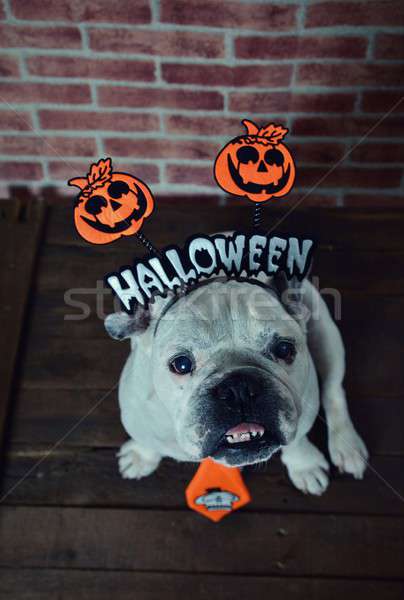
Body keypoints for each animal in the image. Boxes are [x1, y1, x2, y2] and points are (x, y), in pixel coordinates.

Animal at [105, 268, 368, 496]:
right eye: (181, 364)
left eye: (284, 349)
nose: (238, 387)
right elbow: (145, 439)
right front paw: (141, 456)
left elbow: (297, 440)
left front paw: (304, 465)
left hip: (325, 331)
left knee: (334, 390)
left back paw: (347, 447)